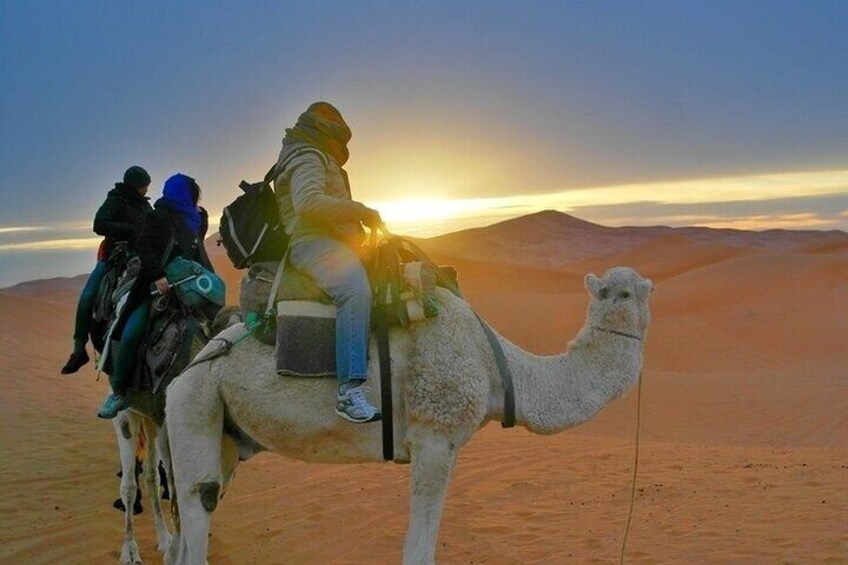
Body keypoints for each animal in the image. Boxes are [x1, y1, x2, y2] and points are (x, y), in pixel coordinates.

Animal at [166, 266, 656, 560]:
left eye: (635, 290)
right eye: (620, 290)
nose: (633, 294)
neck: (496, 366)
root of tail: (194, 362)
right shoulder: (434, 434)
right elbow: (419, 549)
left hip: (224, 431)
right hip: (194, 402)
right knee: (199, 498)